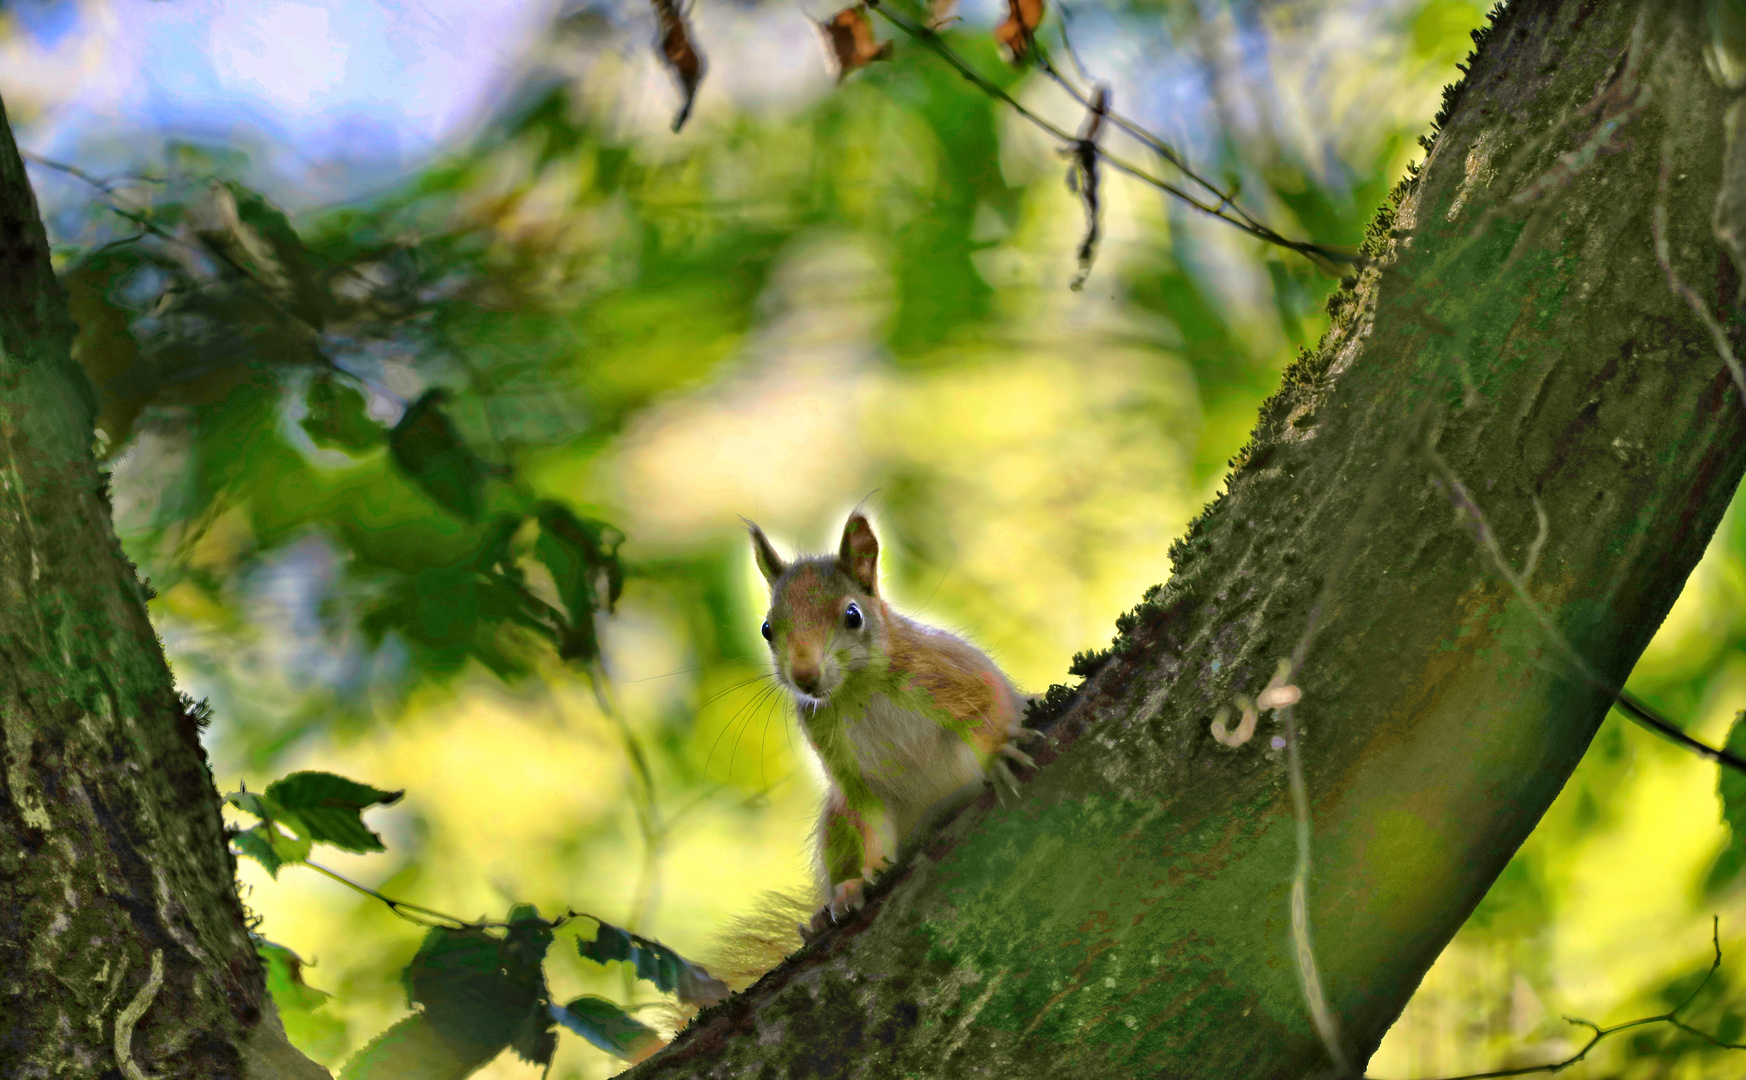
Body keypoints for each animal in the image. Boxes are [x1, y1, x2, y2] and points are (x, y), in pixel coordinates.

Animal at [740, 512, 1033, 928]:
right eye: (767, 629)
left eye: (853, 615)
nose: (805, 677)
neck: (857, 690)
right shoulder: (844, 766)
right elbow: (868, 814)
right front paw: (860, 882)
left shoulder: (946, 671)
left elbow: (988, 703)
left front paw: (999, 755)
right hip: (835, 821)